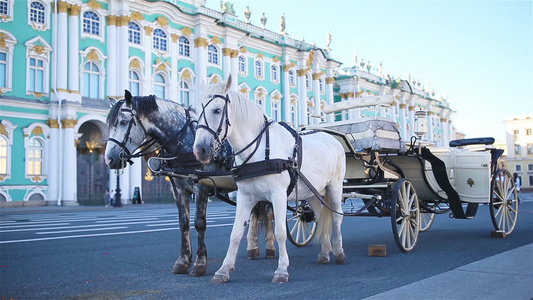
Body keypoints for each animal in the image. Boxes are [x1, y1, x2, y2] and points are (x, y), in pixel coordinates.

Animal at [193, 75, 348, 284]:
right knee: (320, 214)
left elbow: (280, 232)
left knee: (337, 217)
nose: (199, 150)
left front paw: (282, 270)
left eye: (217, 110)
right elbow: (236, 233)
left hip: (335, 187)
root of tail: (331, 138)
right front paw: (223, 270)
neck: (258, 151)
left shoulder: (278, 195)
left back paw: (339, 252)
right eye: (197, 111)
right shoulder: (244, 196)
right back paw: (324, 253)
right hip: (312, 192)